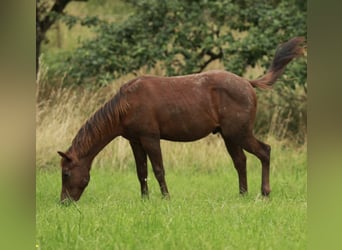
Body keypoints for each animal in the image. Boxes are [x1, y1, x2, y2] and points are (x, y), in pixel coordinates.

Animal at [58, 36, 304, 201]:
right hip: (229, 135)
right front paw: (145, 199)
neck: (126, 105)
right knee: (240, 161)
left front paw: (166, 198)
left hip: (239, 132)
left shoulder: (150, 138)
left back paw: (264, 192)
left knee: (264, 151)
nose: (64, 202)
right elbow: (141, 172)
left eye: (66, 173)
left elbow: (158, 169)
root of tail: (248, 83)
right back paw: (242, 194)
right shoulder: (135, 141)